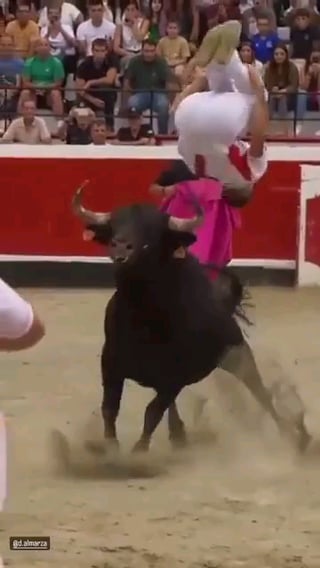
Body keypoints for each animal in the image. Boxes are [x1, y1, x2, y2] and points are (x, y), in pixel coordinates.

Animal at [71, 184, 312, 454]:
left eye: (152, 229)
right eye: (114, 225)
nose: (121, 247)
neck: (142, 313)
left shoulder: (174, 376)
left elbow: (152, 413)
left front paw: (137, 452)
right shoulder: (111, 364)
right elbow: (110, 408)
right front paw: (111, 448)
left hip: (237, 354)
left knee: (260, 392)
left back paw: (293, 436)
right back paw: (178, 435)